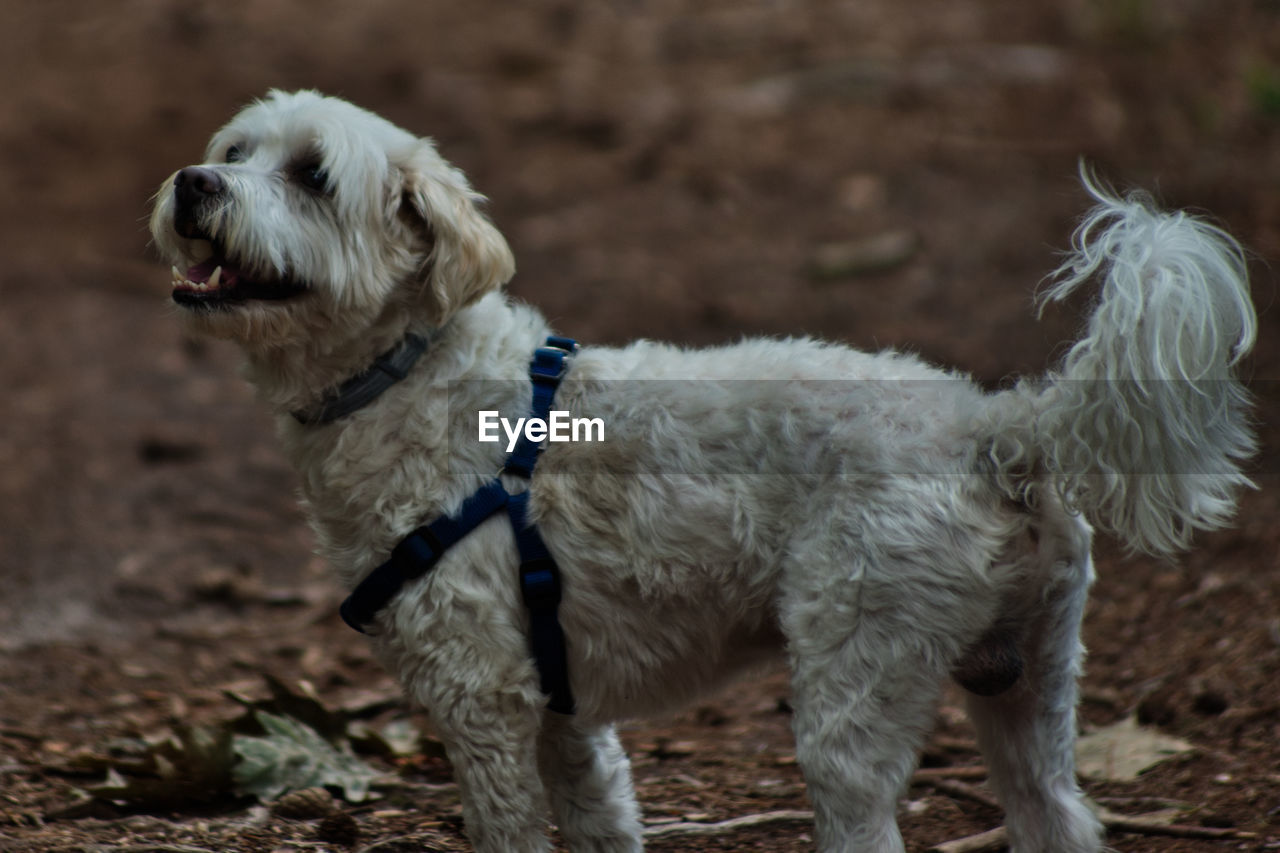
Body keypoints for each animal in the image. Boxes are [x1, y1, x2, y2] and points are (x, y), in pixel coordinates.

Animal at [152, 89, 1259, 845]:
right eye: (233, 152)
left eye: (311, 176)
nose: (192, 183)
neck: (414, 373)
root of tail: (999, 425)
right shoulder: (565, 713)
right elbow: (599, 819)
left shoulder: (482, 697)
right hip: (1030, 678)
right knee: (1058, 814)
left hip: (859, 672)